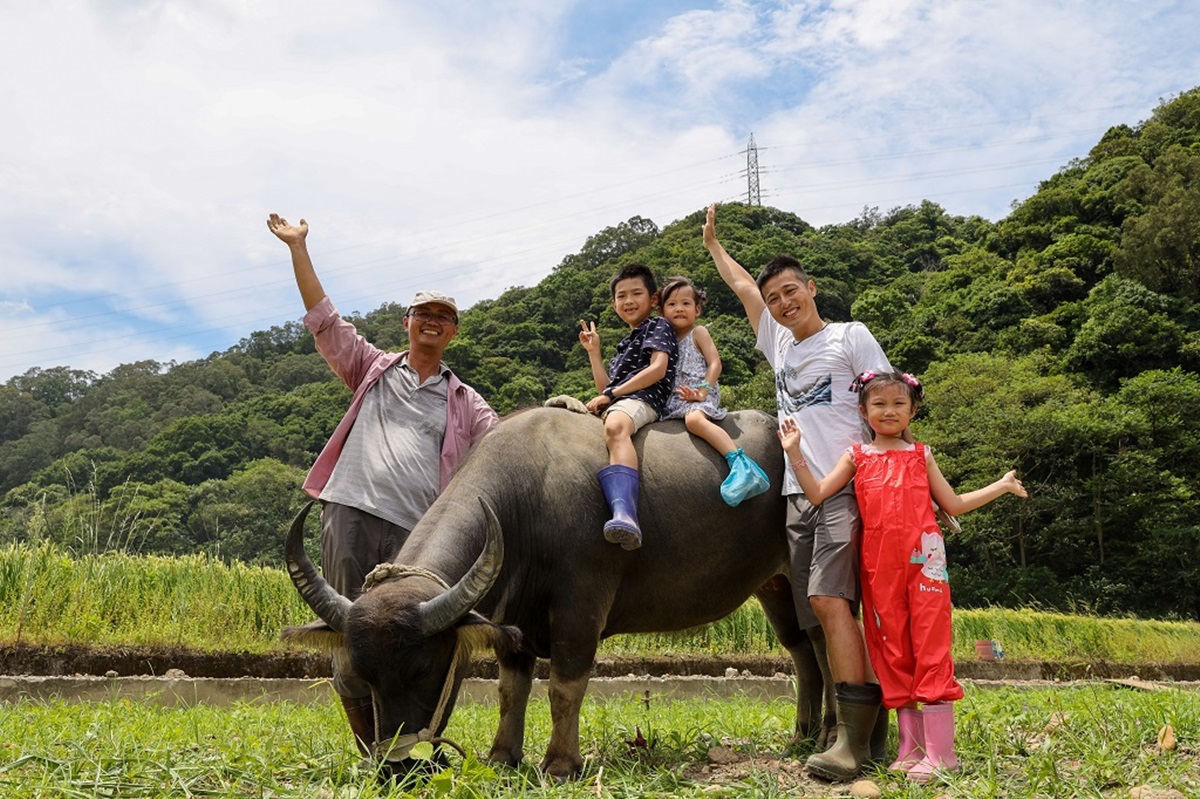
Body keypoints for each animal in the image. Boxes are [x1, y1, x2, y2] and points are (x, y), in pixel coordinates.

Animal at [284, 400, 830, 772]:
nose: (398, 765)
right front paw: (502, 756)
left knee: (824, 644)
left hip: (803, 574)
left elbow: (566, 685)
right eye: (365, 675)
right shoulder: (514, 624)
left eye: (422, 669)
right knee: (801, 651)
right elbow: (511, 689)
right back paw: (800, 737)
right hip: (772, 585)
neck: (528, 499)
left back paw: (826, 741)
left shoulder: (581, 606)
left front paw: (561, 763)